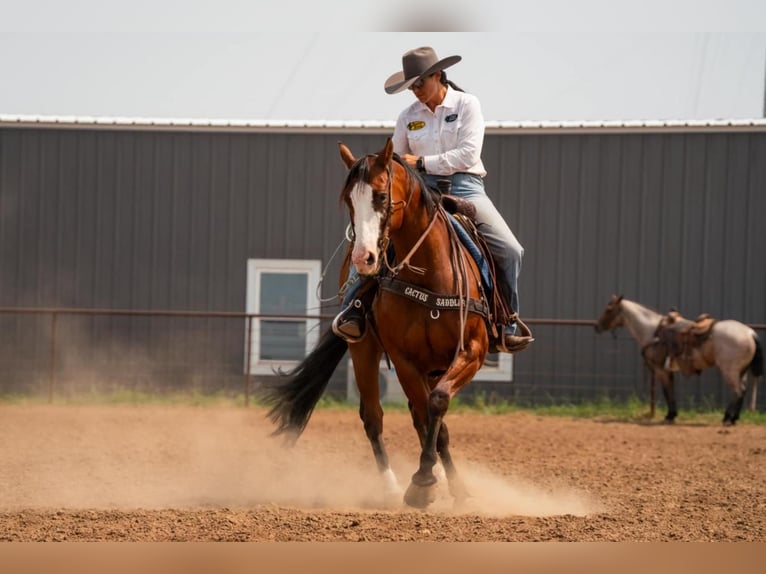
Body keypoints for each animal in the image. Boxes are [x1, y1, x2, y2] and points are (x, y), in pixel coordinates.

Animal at [260, 140, 496, 512]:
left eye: (382, 196)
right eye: (348, 199)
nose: (364, 258)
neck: (429, 274)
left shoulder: (472, 351)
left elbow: (437, 404)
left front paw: (443, 485)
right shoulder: (404, 360)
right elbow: (427, 416)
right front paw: (423, 484)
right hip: (364, 349)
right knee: (373, 416)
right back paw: (391, 487)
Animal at [596, 294, 764, 426]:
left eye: (609, 309)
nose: (597, 326)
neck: (652, 331)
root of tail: (750, 333)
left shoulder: (660, 370)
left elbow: (666, 391)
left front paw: (670, 416)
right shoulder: (667, 370)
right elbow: (671, 390)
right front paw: (673, 414)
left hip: (730, 371)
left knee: (737, 391)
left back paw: (727, 418)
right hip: (741, 372)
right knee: (742, 391)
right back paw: (734, 418)